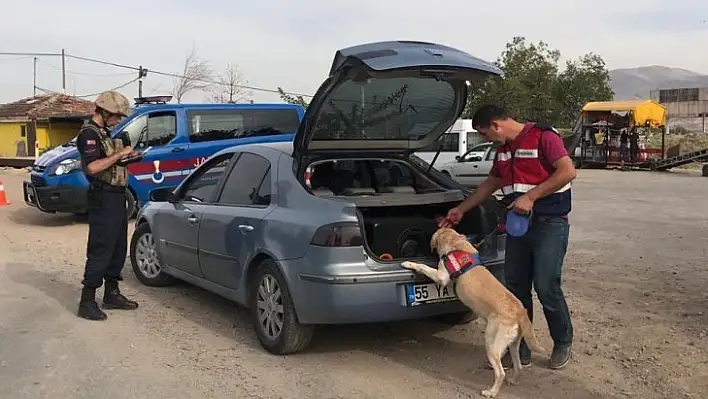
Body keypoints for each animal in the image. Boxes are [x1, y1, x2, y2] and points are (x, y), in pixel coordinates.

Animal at [402, 227, 544, 398]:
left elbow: (424, 267)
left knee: (500, 373)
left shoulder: (441, 276)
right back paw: (514, 380)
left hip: (491, 343)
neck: (456, 244)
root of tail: (519, 310)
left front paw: (409, 263)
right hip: (513, 344)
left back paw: (491, 392)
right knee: (518, 366)